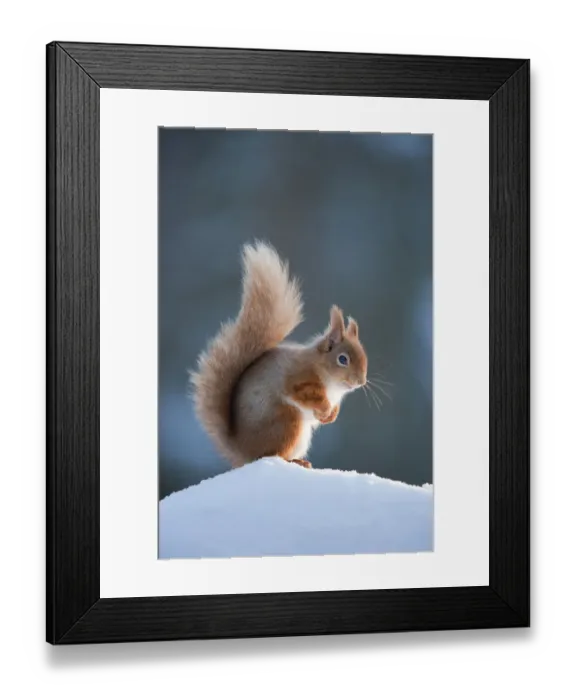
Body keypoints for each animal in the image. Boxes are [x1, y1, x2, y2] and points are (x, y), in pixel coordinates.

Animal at [190, 241, 368, 469]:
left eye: (364, 357)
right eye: (343, 359)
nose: (360, 382)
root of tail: (242, 453)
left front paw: (330, 416)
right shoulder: (299, 378)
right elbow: (304, 393)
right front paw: (324, 408)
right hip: (287, 423)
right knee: (271, 454)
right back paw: (293, 461)